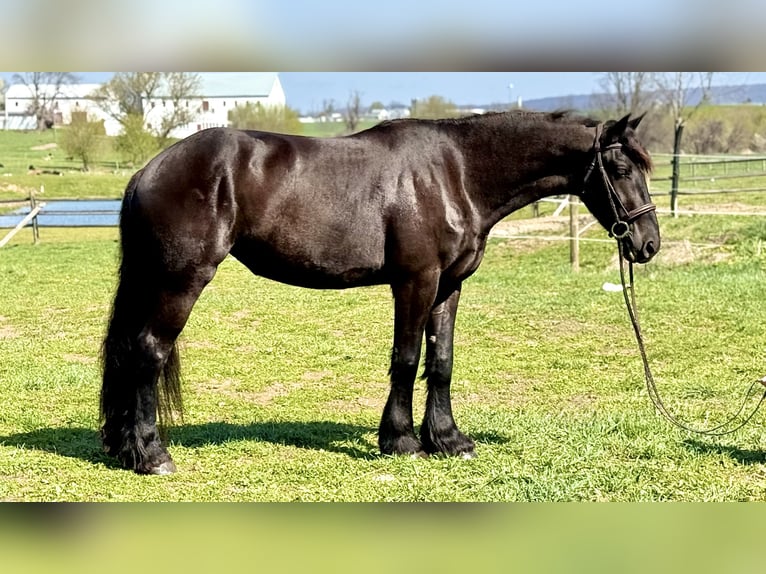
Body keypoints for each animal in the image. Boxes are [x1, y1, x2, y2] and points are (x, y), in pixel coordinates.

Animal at [100, 110, 659, 474]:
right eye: (622, 169)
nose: (648, 243)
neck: (457, 172)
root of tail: (148, 170)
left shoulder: (449, 285)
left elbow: (441, 361)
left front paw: (449, 439)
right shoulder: (416, 280)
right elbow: (406, 358)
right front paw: (402, 440)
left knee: (130, 351)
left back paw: (126, 448)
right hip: (180, 280)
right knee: (149, 352)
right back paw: (152, 455)